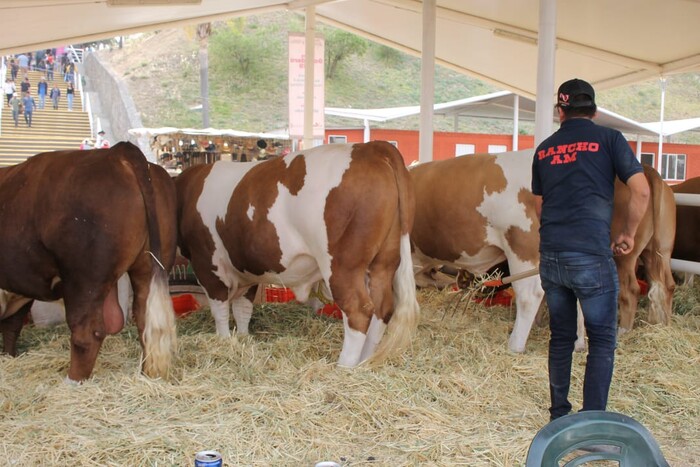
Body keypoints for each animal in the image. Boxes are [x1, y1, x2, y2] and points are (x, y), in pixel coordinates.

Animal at [0, 144, 178, 384]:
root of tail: (117, 152)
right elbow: (12, 325)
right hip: (149, 266)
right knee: (145, 321)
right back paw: (146, 375)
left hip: (84, 276)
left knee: (87, 332)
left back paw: (72, 383)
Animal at [178, 141, 418, 368]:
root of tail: (370, 147)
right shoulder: (247, 271)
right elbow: (242, 309)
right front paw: (243, 339)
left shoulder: (207, 264)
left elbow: (220, 311)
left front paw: (224, 341)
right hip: (383, 262)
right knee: (382, 308)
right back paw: (365, 362)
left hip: (342, 266)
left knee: (359, 310)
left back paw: (344, 367)